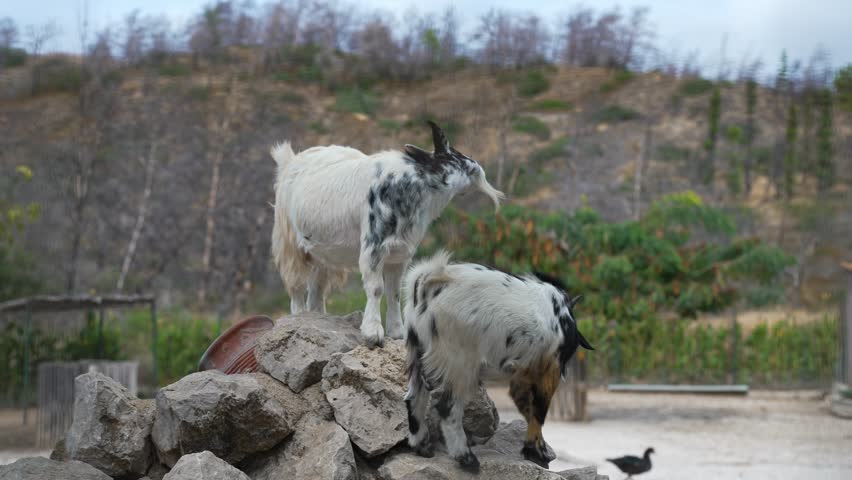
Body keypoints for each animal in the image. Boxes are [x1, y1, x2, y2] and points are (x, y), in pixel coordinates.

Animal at [271, 122, 503, 347]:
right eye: (456, 157)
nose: (477, 167)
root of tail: (290, 160)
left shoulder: (399, 253)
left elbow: (394, 292)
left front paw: (397, 332)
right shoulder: (373, 246)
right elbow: (376, 288)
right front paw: (373, 333)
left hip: (322, 252)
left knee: (316, 289)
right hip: (290, 243)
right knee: (296, 286)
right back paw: (299, 317)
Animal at [402, 251, 594, 473]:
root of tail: (430, 280)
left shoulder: (524, 374)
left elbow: (528, 409)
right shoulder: (547, 371)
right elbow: (538, 411)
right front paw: (535, 452)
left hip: (417, 352)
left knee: (414, 398)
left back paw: (422, 446)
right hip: (461, 364)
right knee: (447, 408)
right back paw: (466, 458)